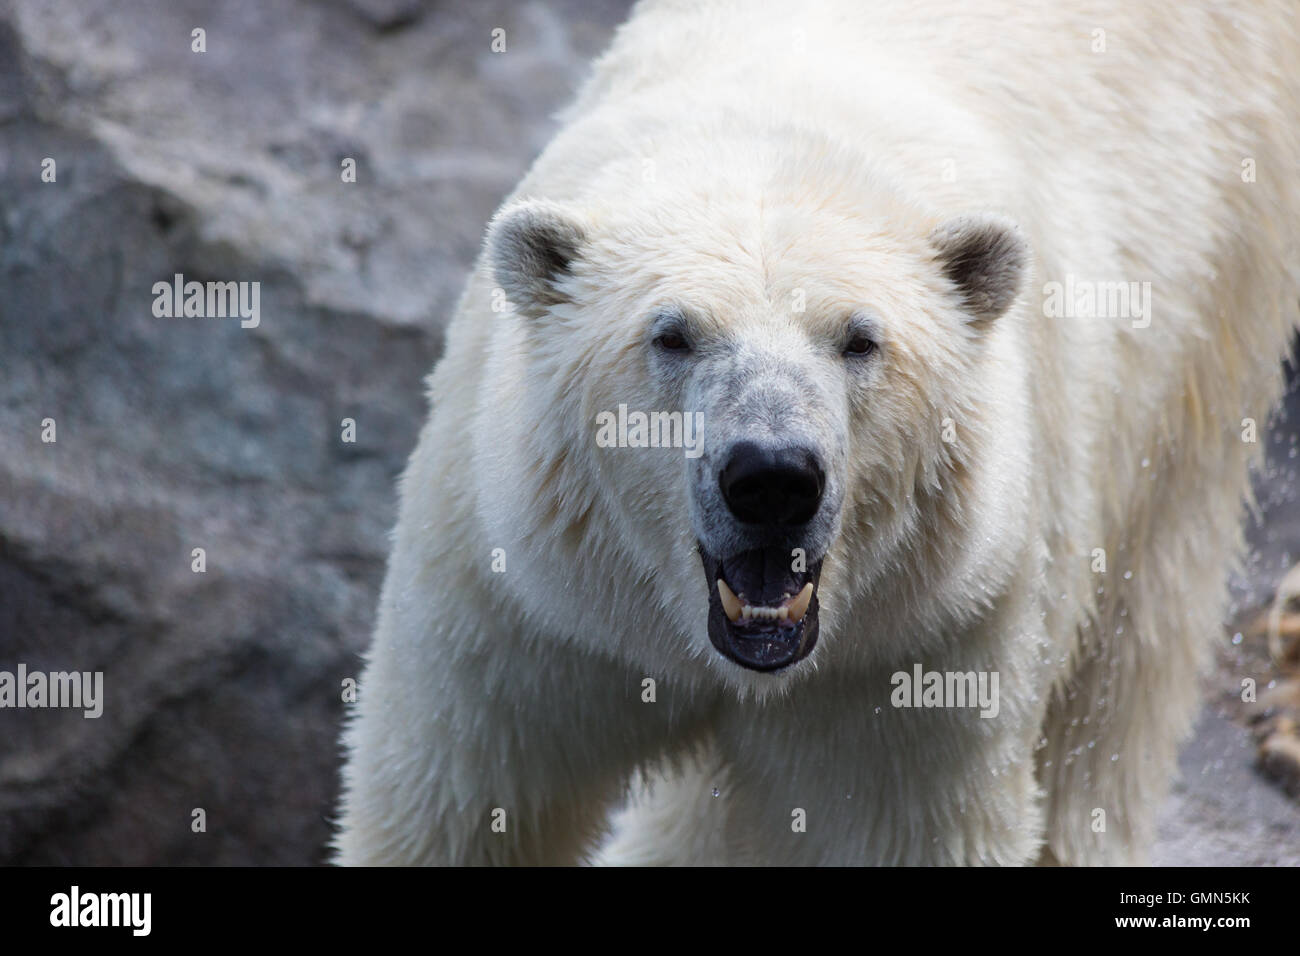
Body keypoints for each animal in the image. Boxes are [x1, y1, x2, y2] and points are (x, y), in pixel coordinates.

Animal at [335, 0, 1300, 865]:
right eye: (672, 334)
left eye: (860, 339)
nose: (771, 478)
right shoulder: (529, 605)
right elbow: (460, 801)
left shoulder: (916, 647)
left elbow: (896, 826)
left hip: (1210, 309)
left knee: (1126, 664)